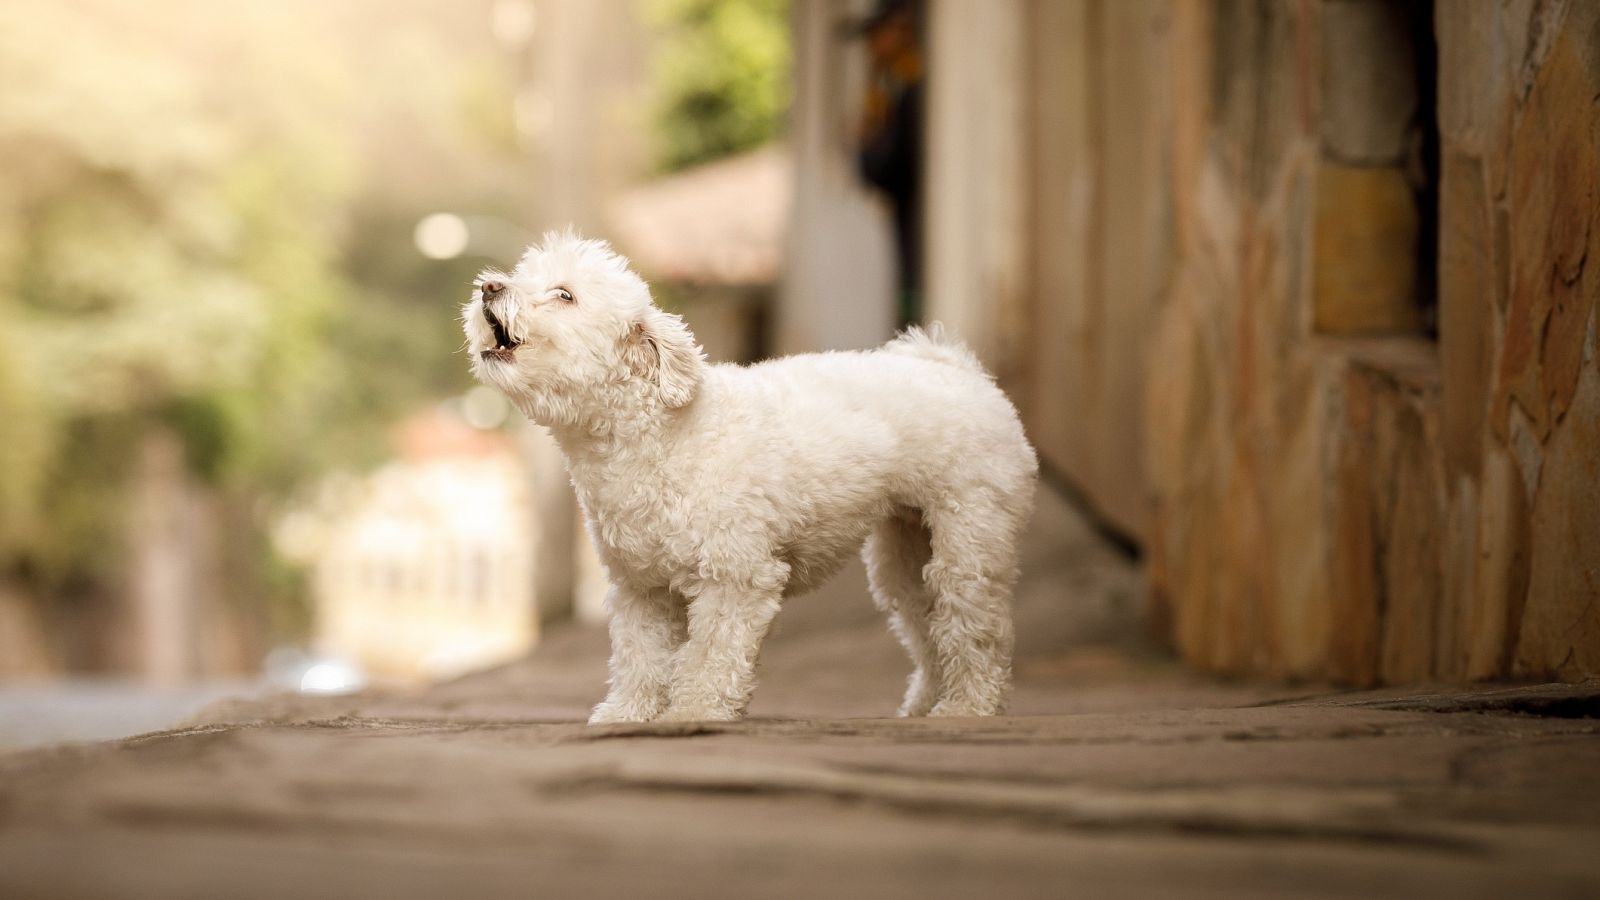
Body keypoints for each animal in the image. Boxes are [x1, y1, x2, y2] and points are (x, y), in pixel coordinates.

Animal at [464, 232, 1036, 720]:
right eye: (520, 275)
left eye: (565, 295)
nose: (489, 285)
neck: (658, 438)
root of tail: (960, 371)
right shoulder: (640, 590)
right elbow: (640, 659)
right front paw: (628, 714)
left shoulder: (736, 578)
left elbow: (711, 655)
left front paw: (693, 712)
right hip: (906, 554)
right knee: (925, 621)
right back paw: (924, 704)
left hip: (970, 537)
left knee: (974, 626)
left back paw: (967, 707)